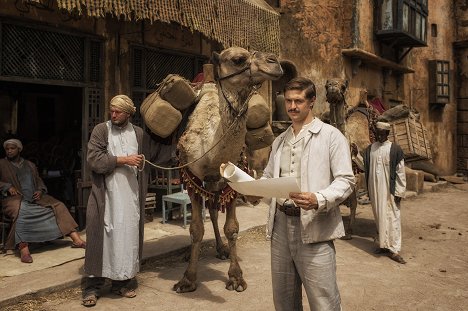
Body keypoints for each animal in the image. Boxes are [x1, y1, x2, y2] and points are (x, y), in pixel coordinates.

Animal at [172, 46, 282, 292]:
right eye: (238, 59)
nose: (275, 62)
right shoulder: (192, 178)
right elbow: (195, 229)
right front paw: (188, 279)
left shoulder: (232, 181)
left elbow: (232, 228)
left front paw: (236, 277)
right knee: (208, 214)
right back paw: (189, 254)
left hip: (216, 182)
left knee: (213, 211)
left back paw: (221, 249)